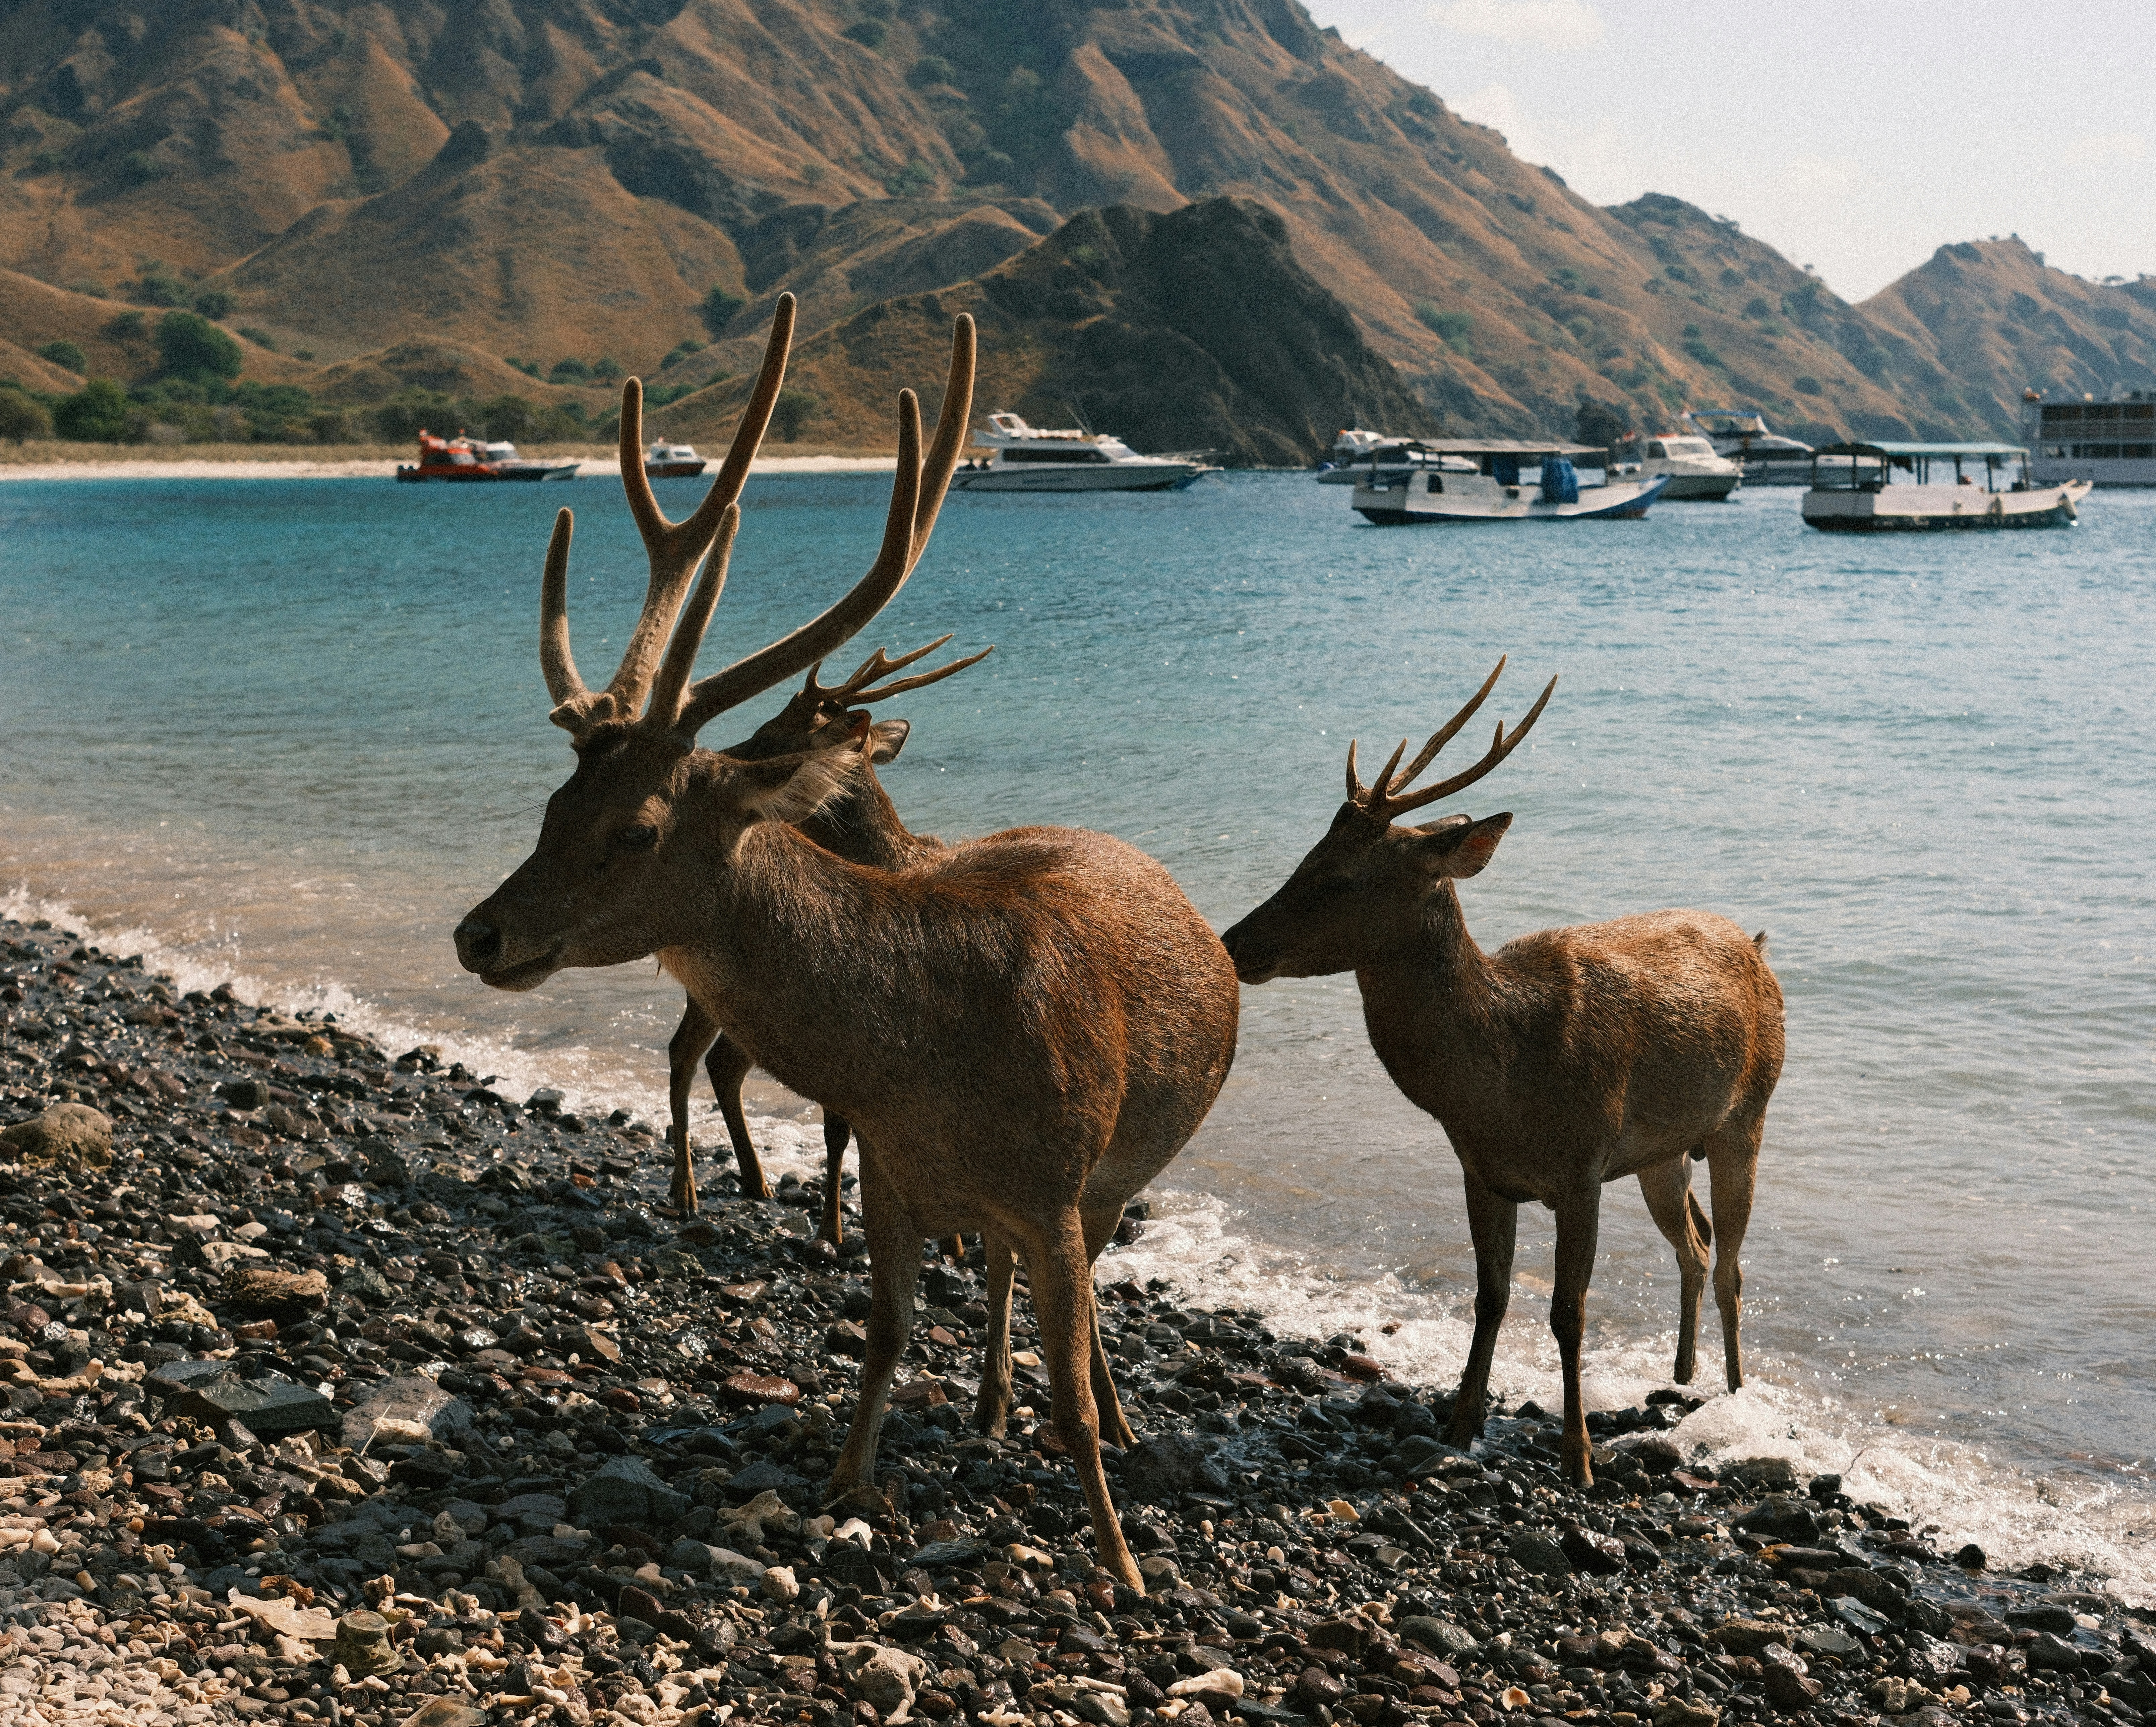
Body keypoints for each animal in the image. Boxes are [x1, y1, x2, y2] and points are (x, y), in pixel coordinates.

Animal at [452, 306, 1240, 1589]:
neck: (923, 1068)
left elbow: (1071, 1387)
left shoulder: (1056, 1181)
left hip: (1123, 1168)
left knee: (1087, 1314)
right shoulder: (889, 1172)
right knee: (1001, 1283)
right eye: (552, 806)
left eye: (635, 828)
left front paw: (1119, 1562)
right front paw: (845, 1479)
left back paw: (1108, 1424)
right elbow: (883, 1334)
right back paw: (987, 1404)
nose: (481, 931)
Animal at [1220, 659, 1783, 1487]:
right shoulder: (1481, 1170)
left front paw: (1577, 1456)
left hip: (1749, 1115)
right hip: (1662, 1151)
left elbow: (1568, 1312)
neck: (1501, 1080)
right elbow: (1489, 1295)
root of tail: (1758, 946)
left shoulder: (1582, 1167)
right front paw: (1459, 1423)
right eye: (1305, 855)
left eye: (1340, 878)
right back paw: (1681, 1374)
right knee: (1696, 1244)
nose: (1233, 940)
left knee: (1733, 1265)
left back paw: (1736, 1398)